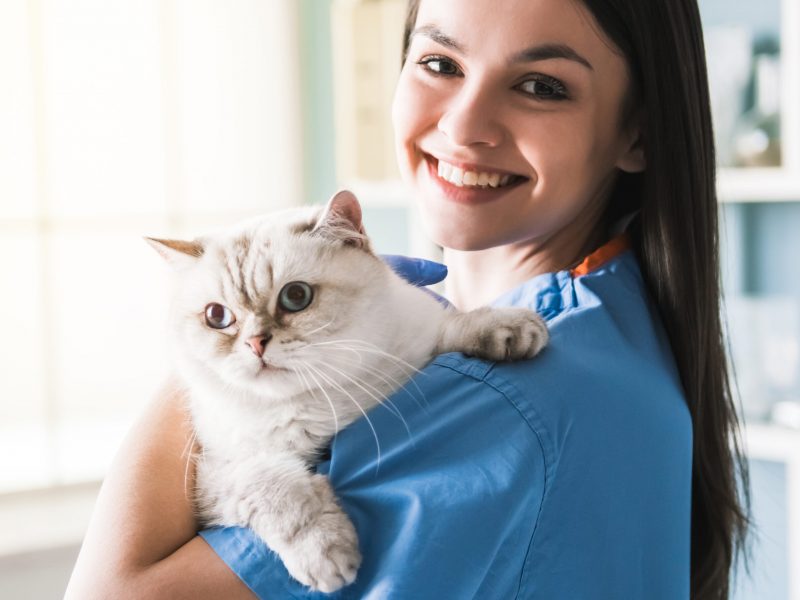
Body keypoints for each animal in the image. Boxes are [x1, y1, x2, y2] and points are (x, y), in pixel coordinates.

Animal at [147, 191, 548, 592]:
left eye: (296, 296)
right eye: (217, 317)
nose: (255, 343)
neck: (320, 399)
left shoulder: (418, 344)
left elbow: (453, 326)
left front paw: (514, 328)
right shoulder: (217, 475)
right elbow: (279, 490)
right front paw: (328, 559)